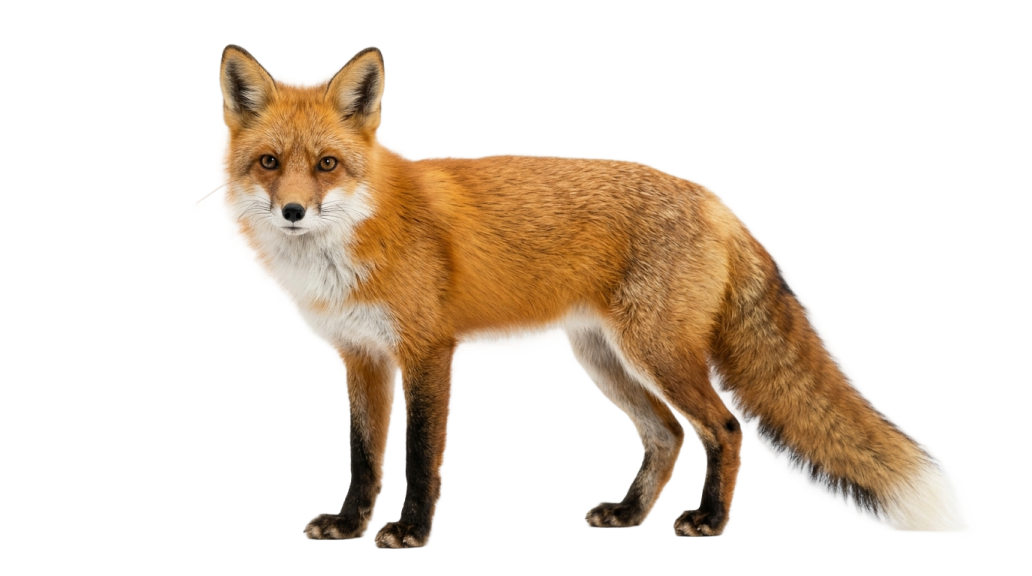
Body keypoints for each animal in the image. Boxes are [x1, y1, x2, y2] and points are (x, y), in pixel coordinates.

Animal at [207, 43, 976, 548]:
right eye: (269, 163)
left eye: (327, 164)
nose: (293, 212)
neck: (357, 238)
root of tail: (717, 199)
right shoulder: (361, 359)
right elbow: (364, 456)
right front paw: (350, 524)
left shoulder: (429, 352)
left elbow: (423, 456)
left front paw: (412, 530)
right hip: (603, 361)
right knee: (667, 435)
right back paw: (631, 516)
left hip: (655, 353)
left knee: (725, 427)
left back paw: (710, 522)